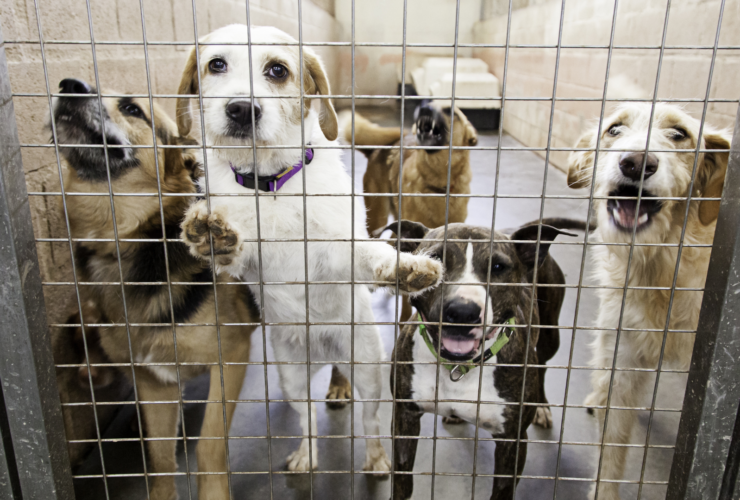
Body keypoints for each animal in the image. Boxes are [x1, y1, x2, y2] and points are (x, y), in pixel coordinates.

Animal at [53, 78, 258, 500]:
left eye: (133, 109)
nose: (70, 85)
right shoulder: (154, 380)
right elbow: (160, 459)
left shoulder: (231, 356)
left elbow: (210, 445)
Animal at [176, 25, 442, 474]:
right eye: (216, 64)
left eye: (277, 70)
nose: (241, 109)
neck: (273, 185)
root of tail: (320, 351)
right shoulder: (247, 257)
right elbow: (232, 246)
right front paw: (211, 234)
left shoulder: (337, 249)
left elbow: (370, 256)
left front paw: (404, 267)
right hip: (292, 377)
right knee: (308, 419)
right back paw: (307, 454)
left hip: (368, 370)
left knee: (370, 421)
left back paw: (376, 457)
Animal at [384, 219, 588, 500]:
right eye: (436, 259)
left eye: (498, 267)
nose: (462, 312)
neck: (460, 367)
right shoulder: (404, 419)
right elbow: (403, 480)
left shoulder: (512, 441)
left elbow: (502, 490)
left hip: (550, 335)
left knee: (543, 363)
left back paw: (543, 407)